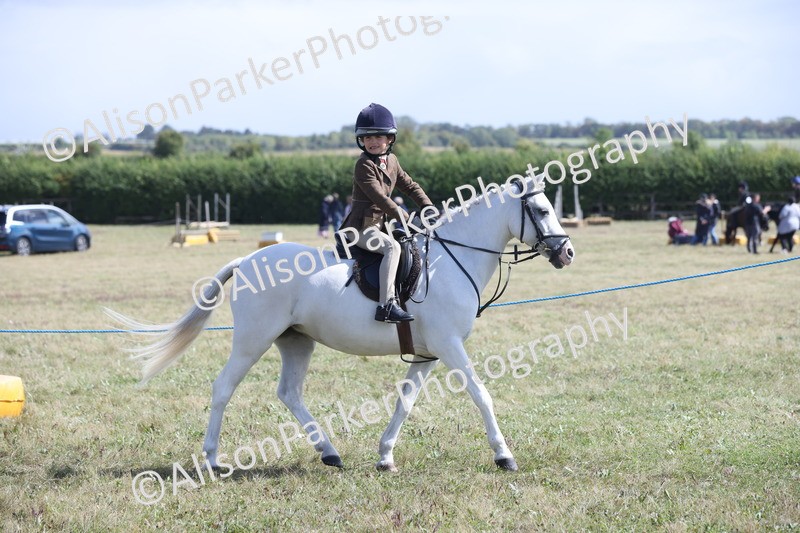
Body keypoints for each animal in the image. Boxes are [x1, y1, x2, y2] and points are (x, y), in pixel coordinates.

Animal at [108, 176, 575, 473]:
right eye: (541, 209)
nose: (567, 253)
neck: (449, 260)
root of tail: (248, 259)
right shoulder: (449, 345)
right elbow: (481, 394)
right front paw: (504, 456)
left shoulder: (428, 353)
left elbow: (405, 402)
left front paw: (385, 457)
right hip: (253, 339)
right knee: (224, 388)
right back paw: (212, 459)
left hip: (295, 341)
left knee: (289, 393)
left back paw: (330, 453)